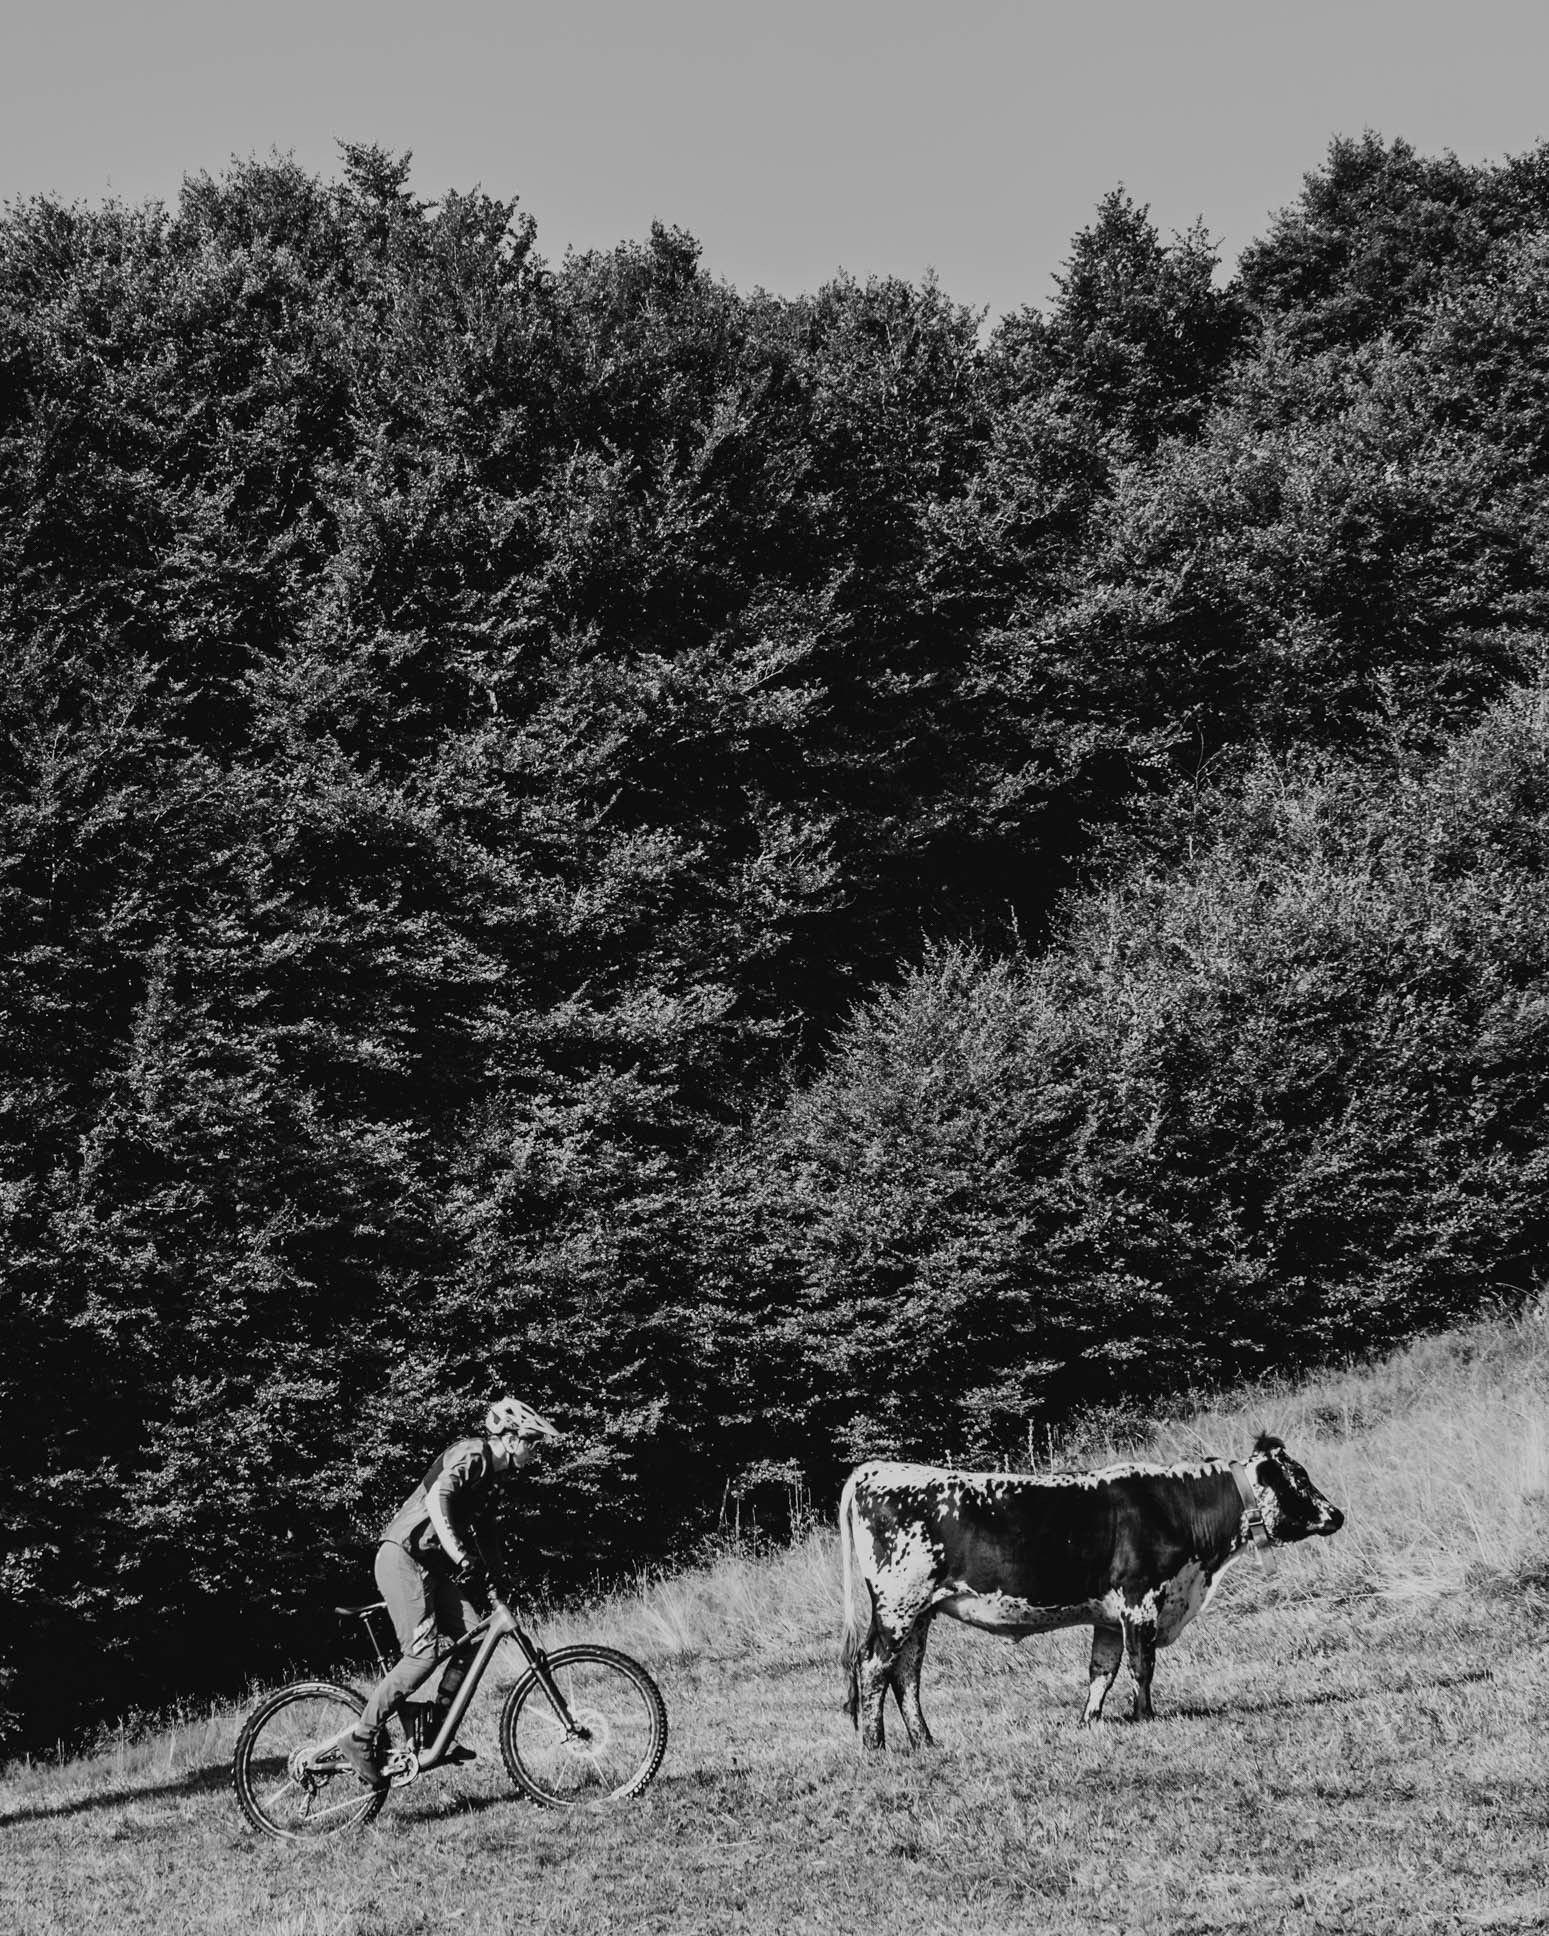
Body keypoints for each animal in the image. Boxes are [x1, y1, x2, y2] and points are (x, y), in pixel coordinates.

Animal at [840, 1432, 1339, 1750]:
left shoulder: (1109, 1618)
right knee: (874, 1665)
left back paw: (925, 1741)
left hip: (920, 1611)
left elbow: (1102, 1671)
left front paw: (1089, 1723)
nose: (1337, 1514)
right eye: (1298, 1479)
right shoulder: (1141, 1600)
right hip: (898, 1604)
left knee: (906, 1674)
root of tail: (875, 1469)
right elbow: (1142, 1665)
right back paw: (875, 1745)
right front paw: (1145, 1718)